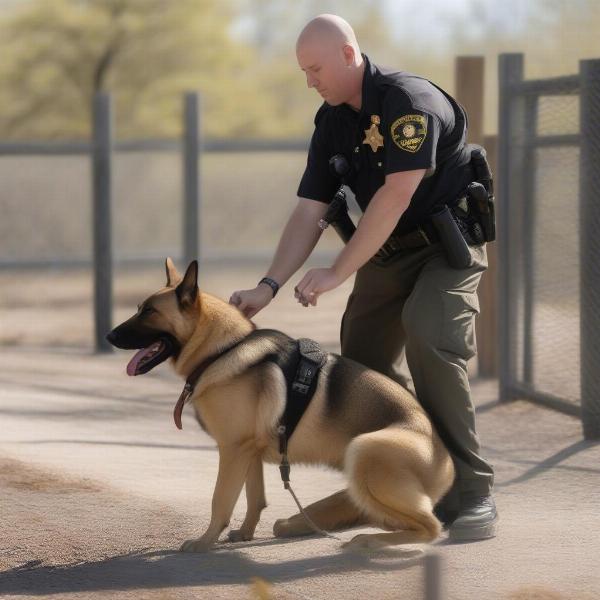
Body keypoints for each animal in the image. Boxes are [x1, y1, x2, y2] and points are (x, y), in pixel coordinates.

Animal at [108, 258, 454, 552]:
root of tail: (447, 462)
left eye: (149, 312)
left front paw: (205, 542)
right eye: (139, 309)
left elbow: (221, 499)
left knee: (431, 527)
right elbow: (254, 498)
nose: (110, 336)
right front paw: (244, 534)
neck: (222, 349)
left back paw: (371, 540)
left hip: (365, 449)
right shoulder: (249, 451)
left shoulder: (233, 449)